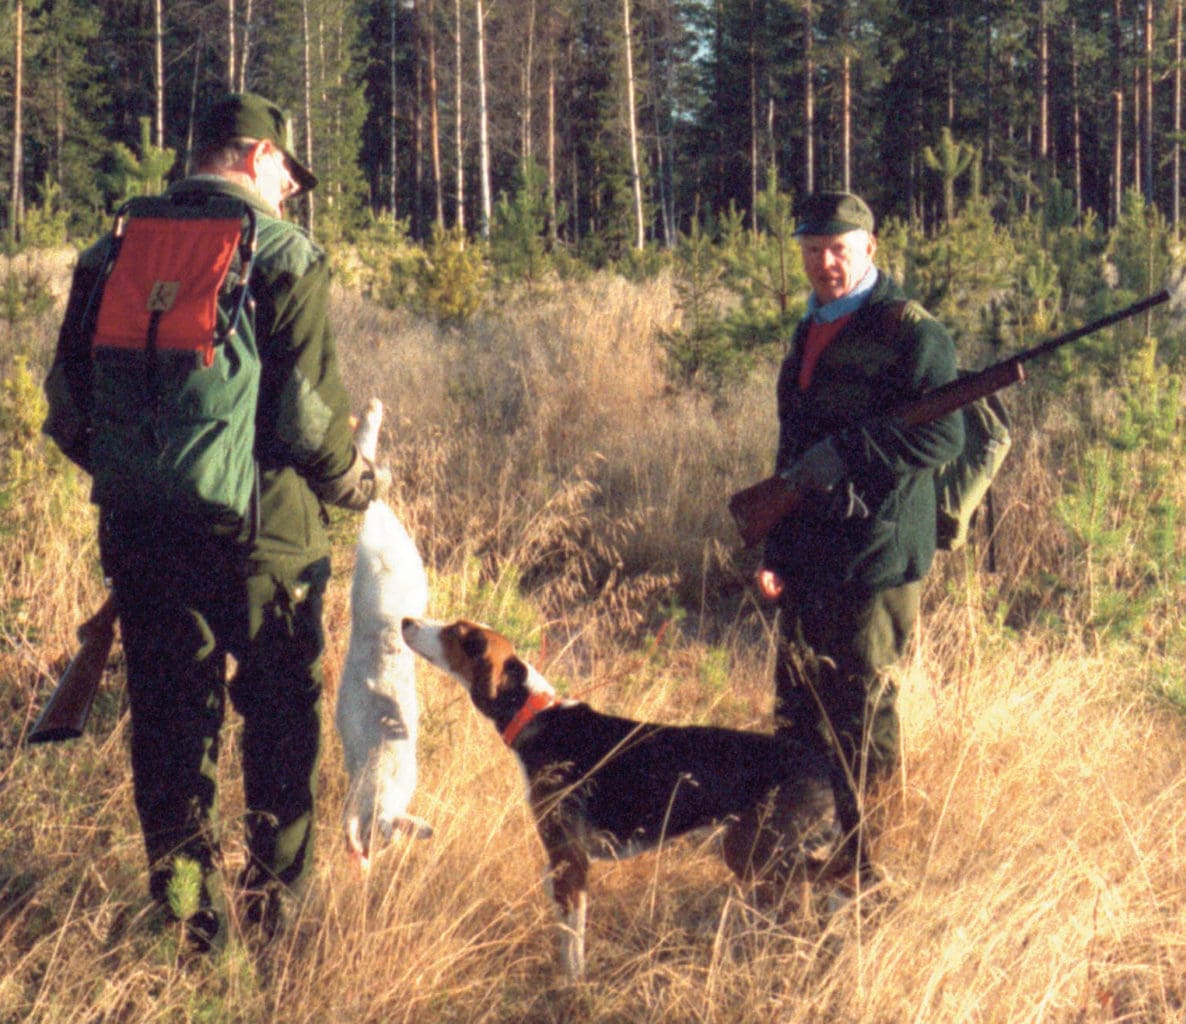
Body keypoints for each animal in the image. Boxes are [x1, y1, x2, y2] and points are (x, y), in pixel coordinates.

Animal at [403, 612, 849, 982]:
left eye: (460, 635)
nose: (407, 621)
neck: (537, 714)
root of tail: (824, 768)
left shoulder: (570, 860)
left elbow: (572, 942)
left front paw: (572, 987)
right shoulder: (563, 863)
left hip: (753, 854)